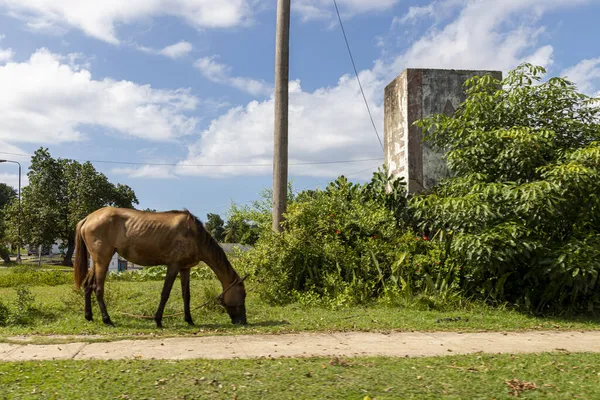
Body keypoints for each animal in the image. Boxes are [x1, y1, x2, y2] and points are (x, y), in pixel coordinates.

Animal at [74, 208, 247, 326]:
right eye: (243, 294)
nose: (242, 321)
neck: (194, 236)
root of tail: (88, 218)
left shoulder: (185, 268)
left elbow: (186, 295)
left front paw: (189, 319)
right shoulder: (173, 266)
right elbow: (165, 294)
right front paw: (158, 320)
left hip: (96, 262)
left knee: (87, 286)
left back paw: (89, 316)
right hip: (103, 260)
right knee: (98, 289)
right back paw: (107, 319)